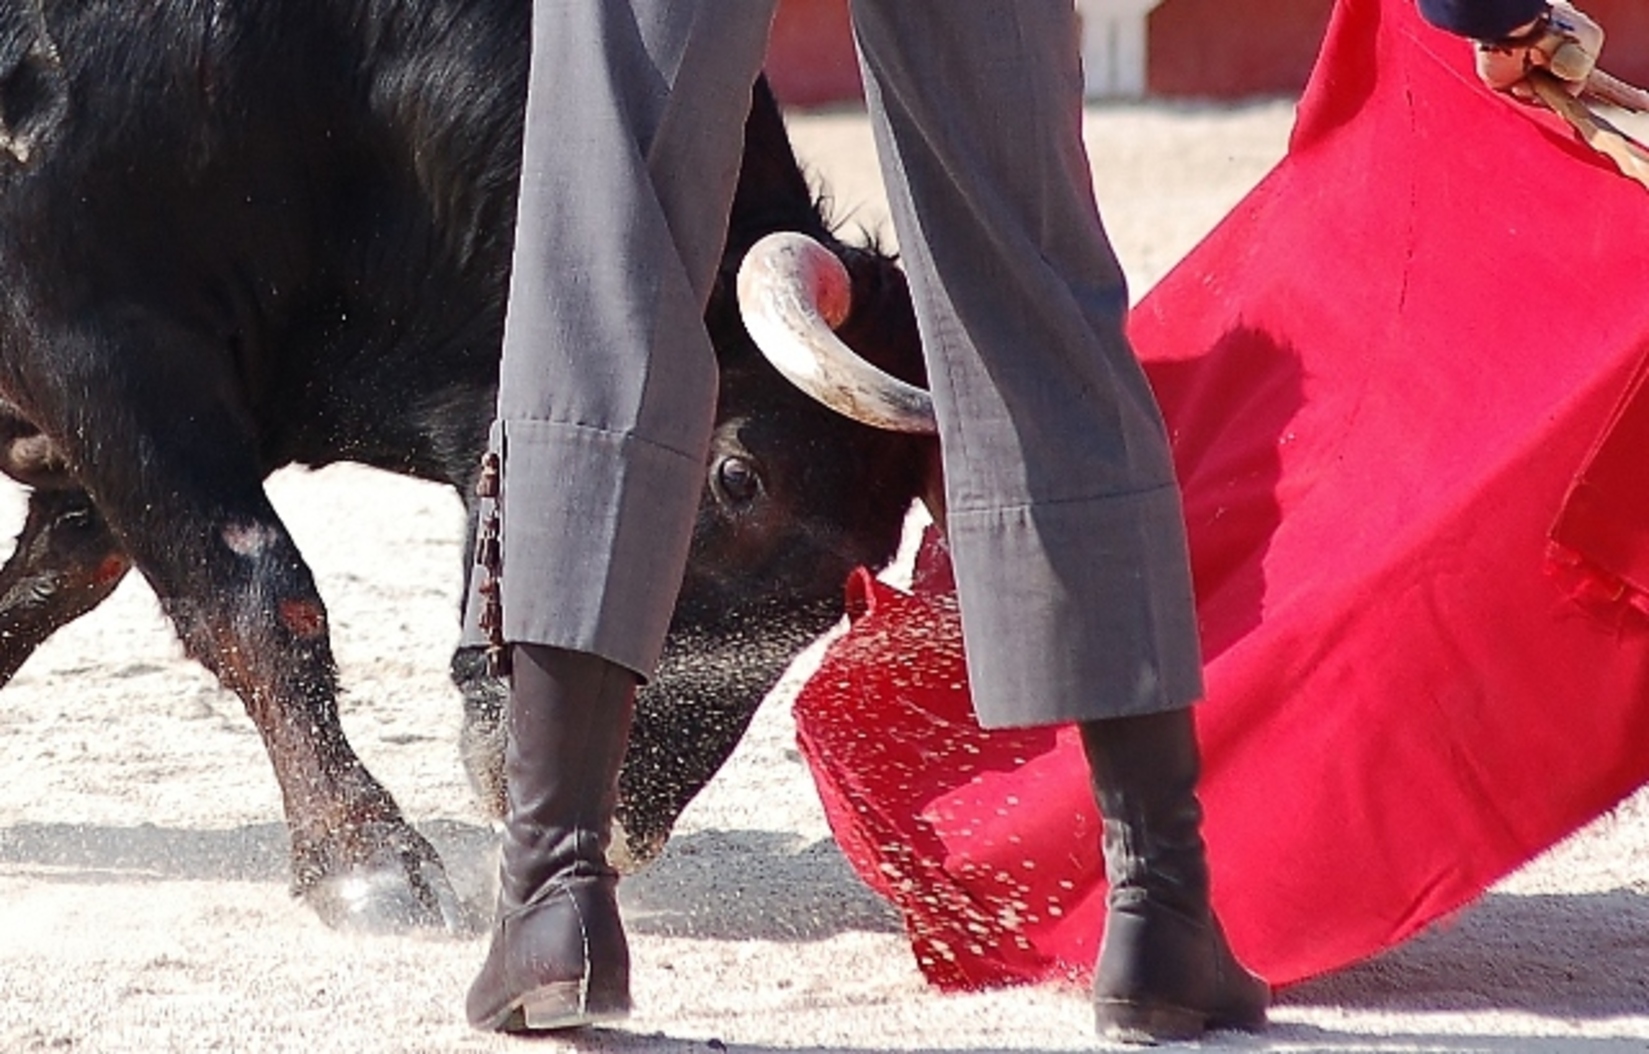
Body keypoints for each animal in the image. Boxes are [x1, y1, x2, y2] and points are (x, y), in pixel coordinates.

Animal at [0, 2, 930, 930]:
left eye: (866, 565)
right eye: (739, 477)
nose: (621, 829)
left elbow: (52, 584)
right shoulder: (106, 346)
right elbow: (259, 594)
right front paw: (367, 862)